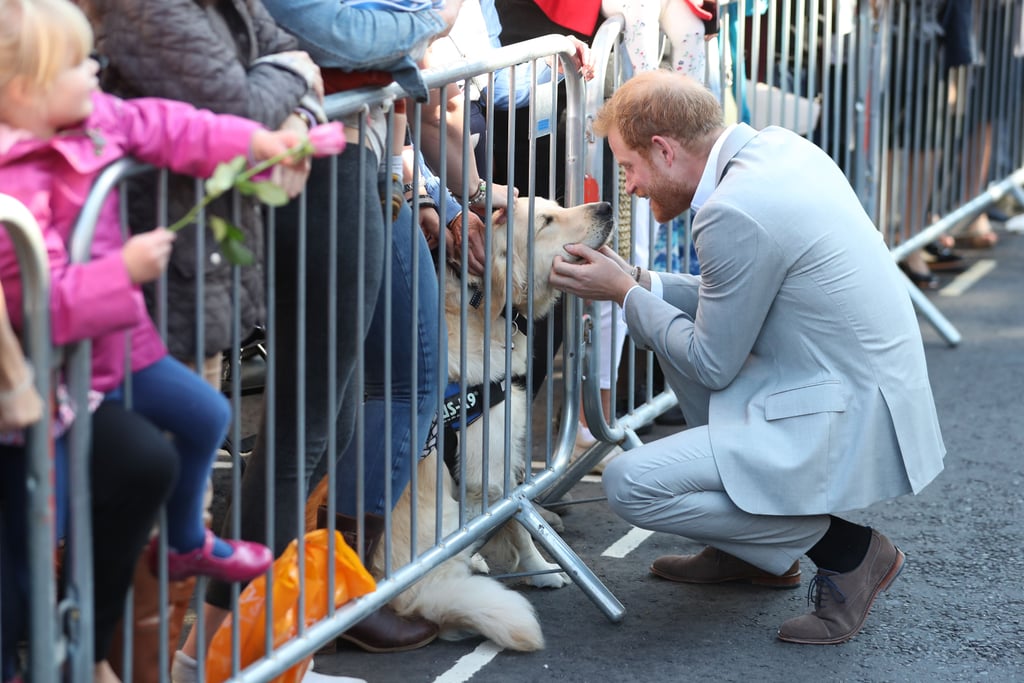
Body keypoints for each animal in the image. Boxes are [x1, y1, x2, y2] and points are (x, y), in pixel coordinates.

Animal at [376, 196, 614, 651]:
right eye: (546, 221)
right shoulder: (488, 464)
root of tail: (408, 601)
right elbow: (515, 521)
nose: (609, 206)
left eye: (556, 206)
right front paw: (540, 569)